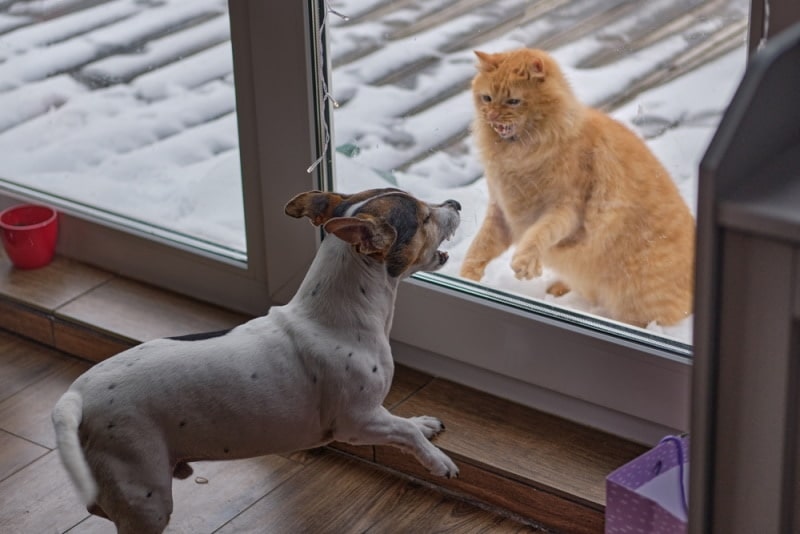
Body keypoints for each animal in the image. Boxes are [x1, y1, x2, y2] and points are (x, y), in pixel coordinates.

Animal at [51, 191, 462, 532]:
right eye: (424, 217)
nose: (455, 203)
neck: (340, 316)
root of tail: (75, 397)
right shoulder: (356, 423)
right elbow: (403, 432)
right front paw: (437, 460)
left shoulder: (374, 415)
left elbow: (403, 423)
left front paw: (423, 423)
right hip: (146, 495)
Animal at [460, 49, 696, 326]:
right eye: (486, 98)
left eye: (513, 101)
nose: (492, 116)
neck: (517, 156)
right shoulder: (502, 213)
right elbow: (478, 249)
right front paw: (467, 277)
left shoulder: (567, 210)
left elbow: (539, 234)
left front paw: (525, 263)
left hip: (635, 304)